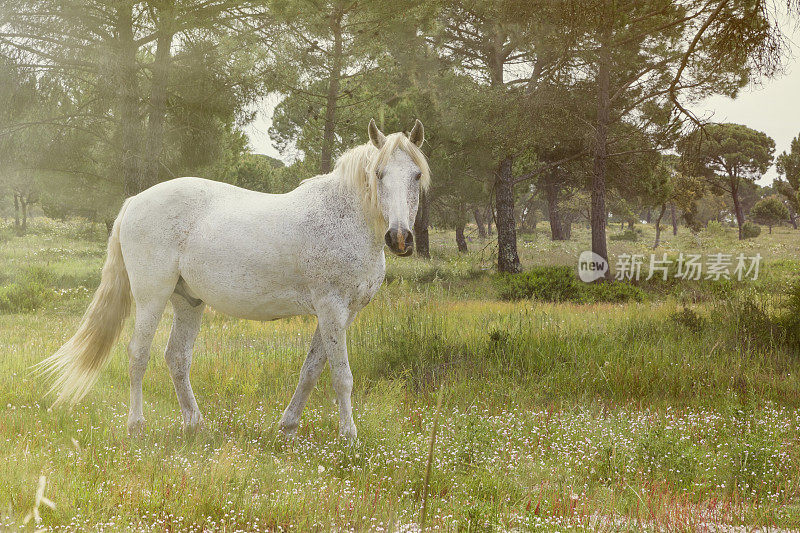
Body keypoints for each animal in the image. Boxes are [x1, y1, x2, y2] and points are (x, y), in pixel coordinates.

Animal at [39, 120, 432, 440]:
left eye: (415, 175)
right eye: (379, 174)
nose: (399, 238)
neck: (346, 217)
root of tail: (135, 201)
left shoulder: (342, 313)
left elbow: (311, 370)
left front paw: (288, 428)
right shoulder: (331, 308)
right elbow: (341, 376)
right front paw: (349, 438)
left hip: (188, 301)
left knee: (176, 358)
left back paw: (195, 425)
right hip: (152, 297)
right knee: (138, 355)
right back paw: (136, 427)